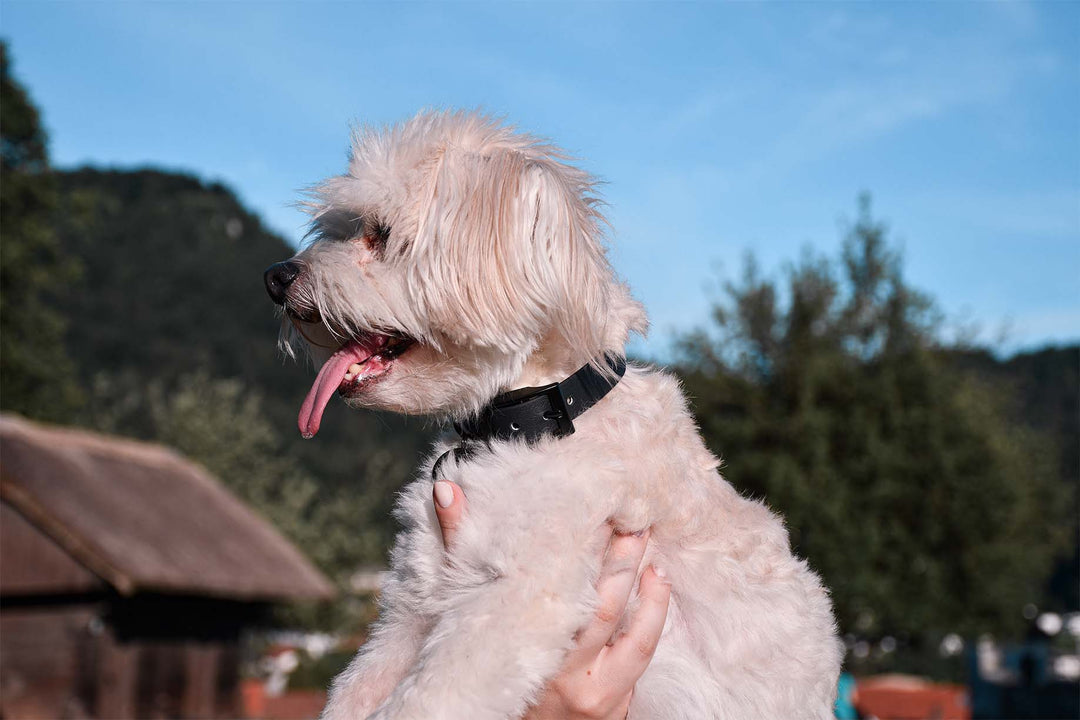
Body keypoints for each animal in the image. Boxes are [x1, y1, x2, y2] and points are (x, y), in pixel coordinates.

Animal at [263, 110, 842, 716]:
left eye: (381, 233)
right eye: (340, 228)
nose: (276, 277)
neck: (525, 423)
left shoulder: (517, 599)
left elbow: (422, 701)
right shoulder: (411, 609)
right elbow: (355, 692)